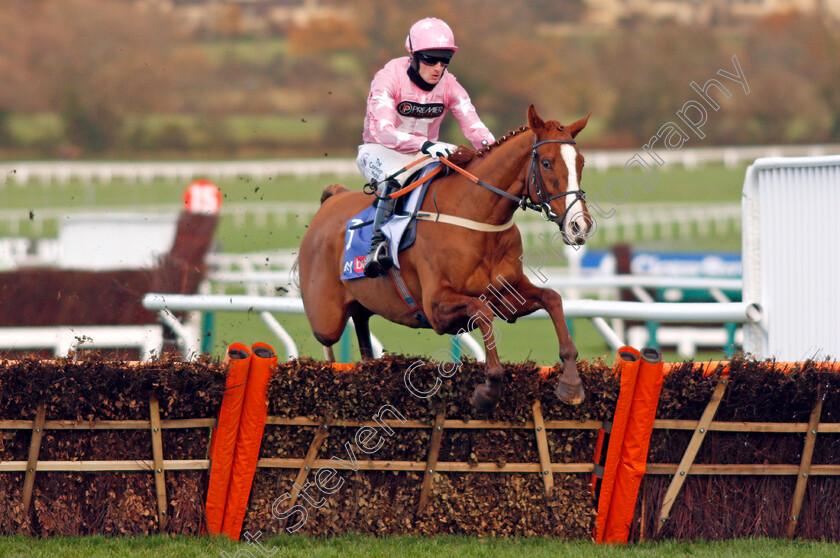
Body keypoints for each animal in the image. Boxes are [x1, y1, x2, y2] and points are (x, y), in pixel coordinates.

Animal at [298, 106, 592, 412]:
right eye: (546, 163)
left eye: (581, 162)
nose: (579, 226)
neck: (475, 216)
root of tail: (333, 198)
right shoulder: (436, 307)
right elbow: (480, 309)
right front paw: (488, 390)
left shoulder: (507, 297)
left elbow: (552, 299)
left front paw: (571, 383)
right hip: (326, 317)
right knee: (328, 342)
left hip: (362, 302)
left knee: (361, 323)